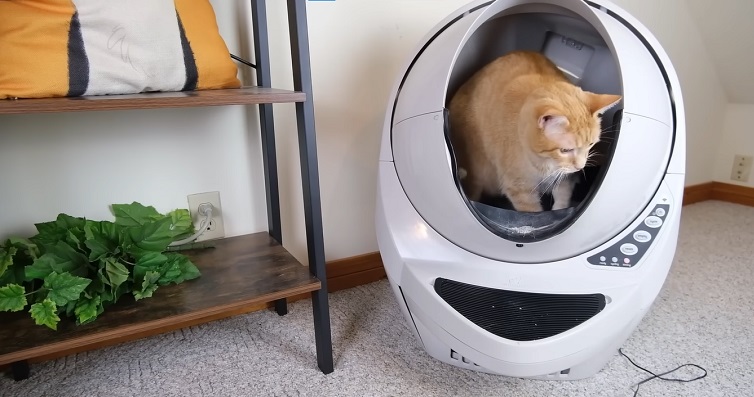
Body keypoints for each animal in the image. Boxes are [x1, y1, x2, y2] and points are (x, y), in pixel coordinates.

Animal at [450, 50, 620, 212]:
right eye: (565, 150)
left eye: (590, 145)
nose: (580, 167)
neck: (545, 162)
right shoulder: (520, 190)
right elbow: (532, 212)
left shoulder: (564, 176)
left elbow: (563, 195)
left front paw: (559, 209)